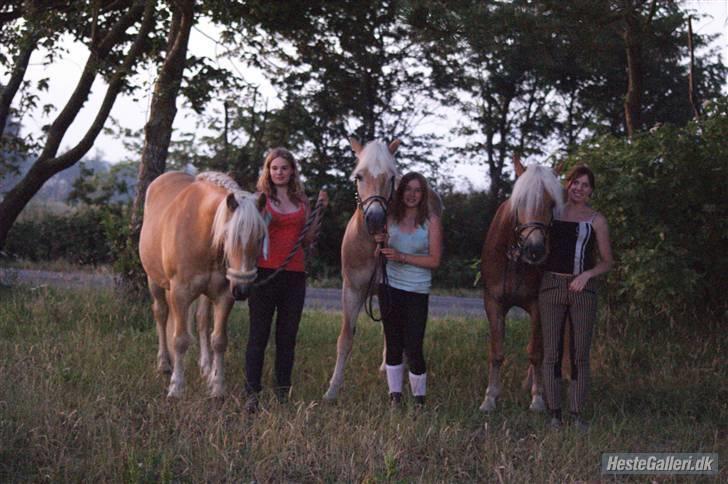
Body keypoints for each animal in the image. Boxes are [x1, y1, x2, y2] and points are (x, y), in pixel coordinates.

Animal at [139, 170, 268, 398]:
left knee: (201, 320)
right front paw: (176, 387)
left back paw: (206, 368)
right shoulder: (180, 293)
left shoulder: (224, 295)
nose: (242, 289)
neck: (201, 230)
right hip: (155, 281)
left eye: (260, 237)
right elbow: (180, 340)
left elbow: (219, 340)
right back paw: (164, 364)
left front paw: (217, 387)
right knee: (161, 314)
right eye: (228, 235)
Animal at [322, 137, 400, 400]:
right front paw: (332, 390)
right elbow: (345, 338)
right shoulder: (352, 290)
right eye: (359, 176)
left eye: (392, 177)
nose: (375, 219)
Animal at [478, 156, 564, 412]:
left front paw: (538, 398)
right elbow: (496, 352)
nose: (534, 249)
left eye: (551, 203)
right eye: (519, 201)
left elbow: (535, 352)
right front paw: (490, 398)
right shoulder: (493, 302)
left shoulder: (537, 304)